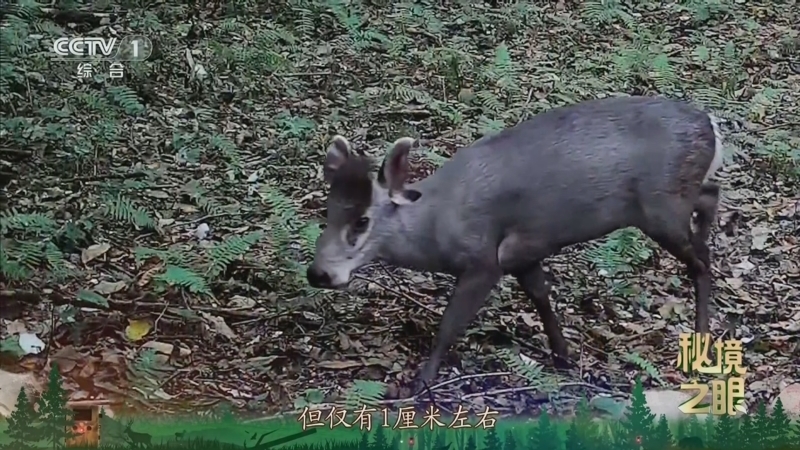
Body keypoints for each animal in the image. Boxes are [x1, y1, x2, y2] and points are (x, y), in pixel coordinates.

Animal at [306, 95, 724, 393]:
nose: (318, 273)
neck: (436, 228)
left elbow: (449, 324)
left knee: (701, 259)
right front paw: (563, 357)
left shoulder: (483, 259)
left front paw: (421, 382)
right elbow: (541, 297)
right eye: (328, 211)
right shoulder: (521, 253)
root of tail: (711, 125)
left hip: (660, 207)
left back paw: (701, 339)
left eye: (362, 220)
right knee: (710, 194)